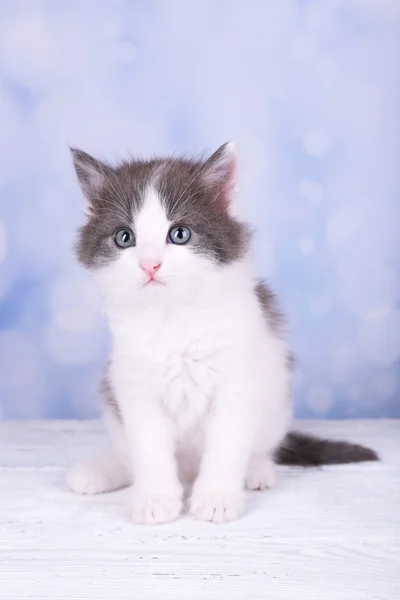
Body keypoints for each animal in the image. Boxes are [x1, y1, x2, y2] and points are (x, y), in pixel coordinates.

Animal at [66, 143, 378, 524]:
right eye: (124, 238)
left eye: (179, 234)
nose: (150, 265)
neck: (174, 316)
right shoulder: (134, 386)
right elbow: (149, 450)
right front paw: (156, 499)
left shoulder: (239, 383)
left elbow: (227, 448)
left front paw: (215, 498)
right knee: (130, 454)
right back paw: (100, 471)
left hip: (277, 397)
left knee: (261, 447)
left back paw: (257, 471)